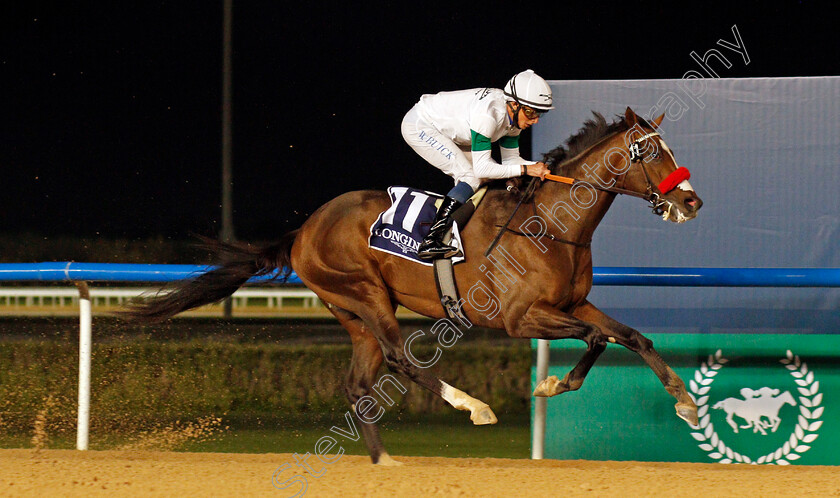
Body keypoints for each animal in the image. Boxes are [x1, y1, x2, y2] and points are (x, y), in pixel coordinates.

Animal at [124, 107, 704, 464]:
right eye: (652, 153)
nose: (691, 201)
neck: (550, 225)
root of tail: (304, 229)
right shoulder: (520, 318)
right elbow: (598, 338)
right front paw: (551, 385)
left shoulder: (575, 302)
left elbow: (630, 336)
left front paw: (684, 401)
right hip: (365, 293)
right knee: (399, 357)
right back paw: (473, 406)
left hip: (350, 311)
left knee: (358, 380)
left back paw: (385, 460)